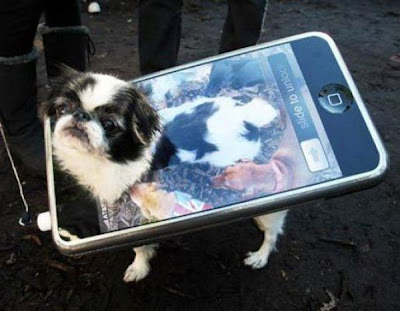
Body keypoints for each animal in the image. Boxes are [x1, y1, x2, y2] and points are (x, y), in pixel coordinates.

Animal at [40, 69, 288, 284]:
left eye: (109, 125)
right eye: (63, 108)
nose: (80, 115)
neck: (107, 158)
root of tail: (245, 114)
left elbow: (139, 246)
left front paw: (139, 267)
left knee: (272, 233)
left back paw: (260, 255)